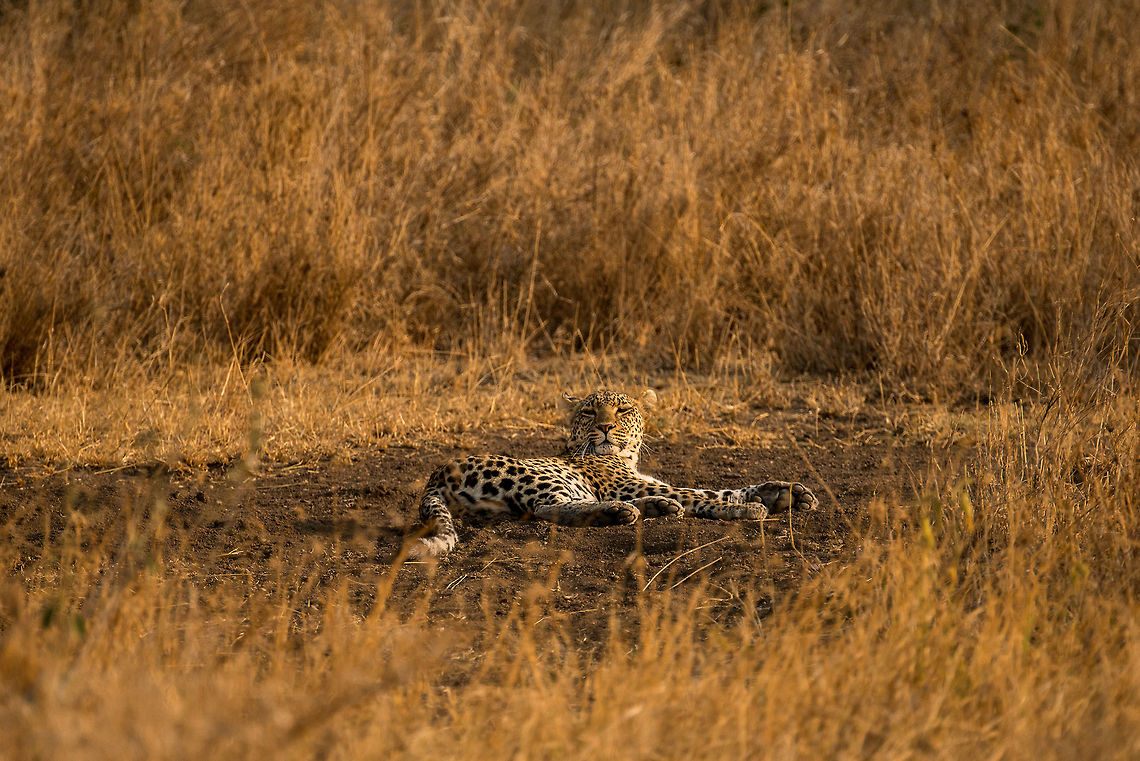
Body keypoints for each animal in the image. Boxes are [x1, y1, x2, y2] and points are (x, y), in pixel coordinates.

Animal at [408, 389, 817, 558]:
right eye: (589, 412)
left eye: (622, 410)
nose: (605, 427)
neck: (628, 458)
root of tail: (436, 474)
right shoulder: (625, 484)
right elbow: (699, 496)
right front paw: (749, 508)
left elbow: (713, 490)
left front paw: (783, 492)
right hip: (535, 474)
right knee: (548, 509)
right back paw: (626, 511)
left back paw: (655, 507)